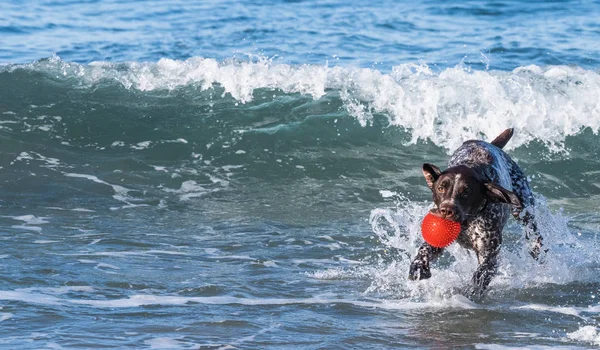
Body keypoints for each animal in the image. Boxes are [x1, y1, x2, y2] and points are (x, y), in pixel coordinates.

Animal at [408, 129, 544, 298]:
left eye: (466, 192)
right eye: (440, 188)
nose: (446, 210)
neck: (467, 222)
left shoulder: (489, 257)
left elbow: (480, 275)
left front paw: (470, 291)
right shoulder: (437, 240)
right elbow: (424, 250)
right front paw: (418, 267)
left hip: (524, 210)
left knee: (533, 233)